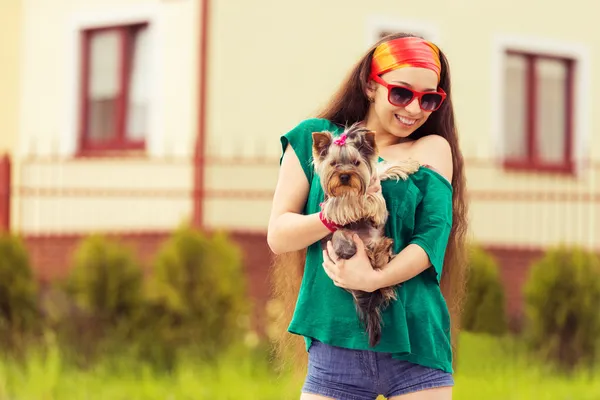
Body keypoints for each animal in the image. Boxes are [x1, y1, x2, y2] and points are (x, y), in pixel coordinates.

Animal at [314, 124, 418, 346]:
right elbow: (355, 200)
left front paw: (409, 163)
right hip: (341, 239)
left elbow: (380, 170)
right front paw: (373, 207)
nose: (345, 176)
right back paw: (376, 251)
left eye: (356, 162)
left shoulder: (371, 178)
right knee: (367, 256)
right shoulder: (335, 206)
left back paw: (384, 248)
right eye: (333, 164)